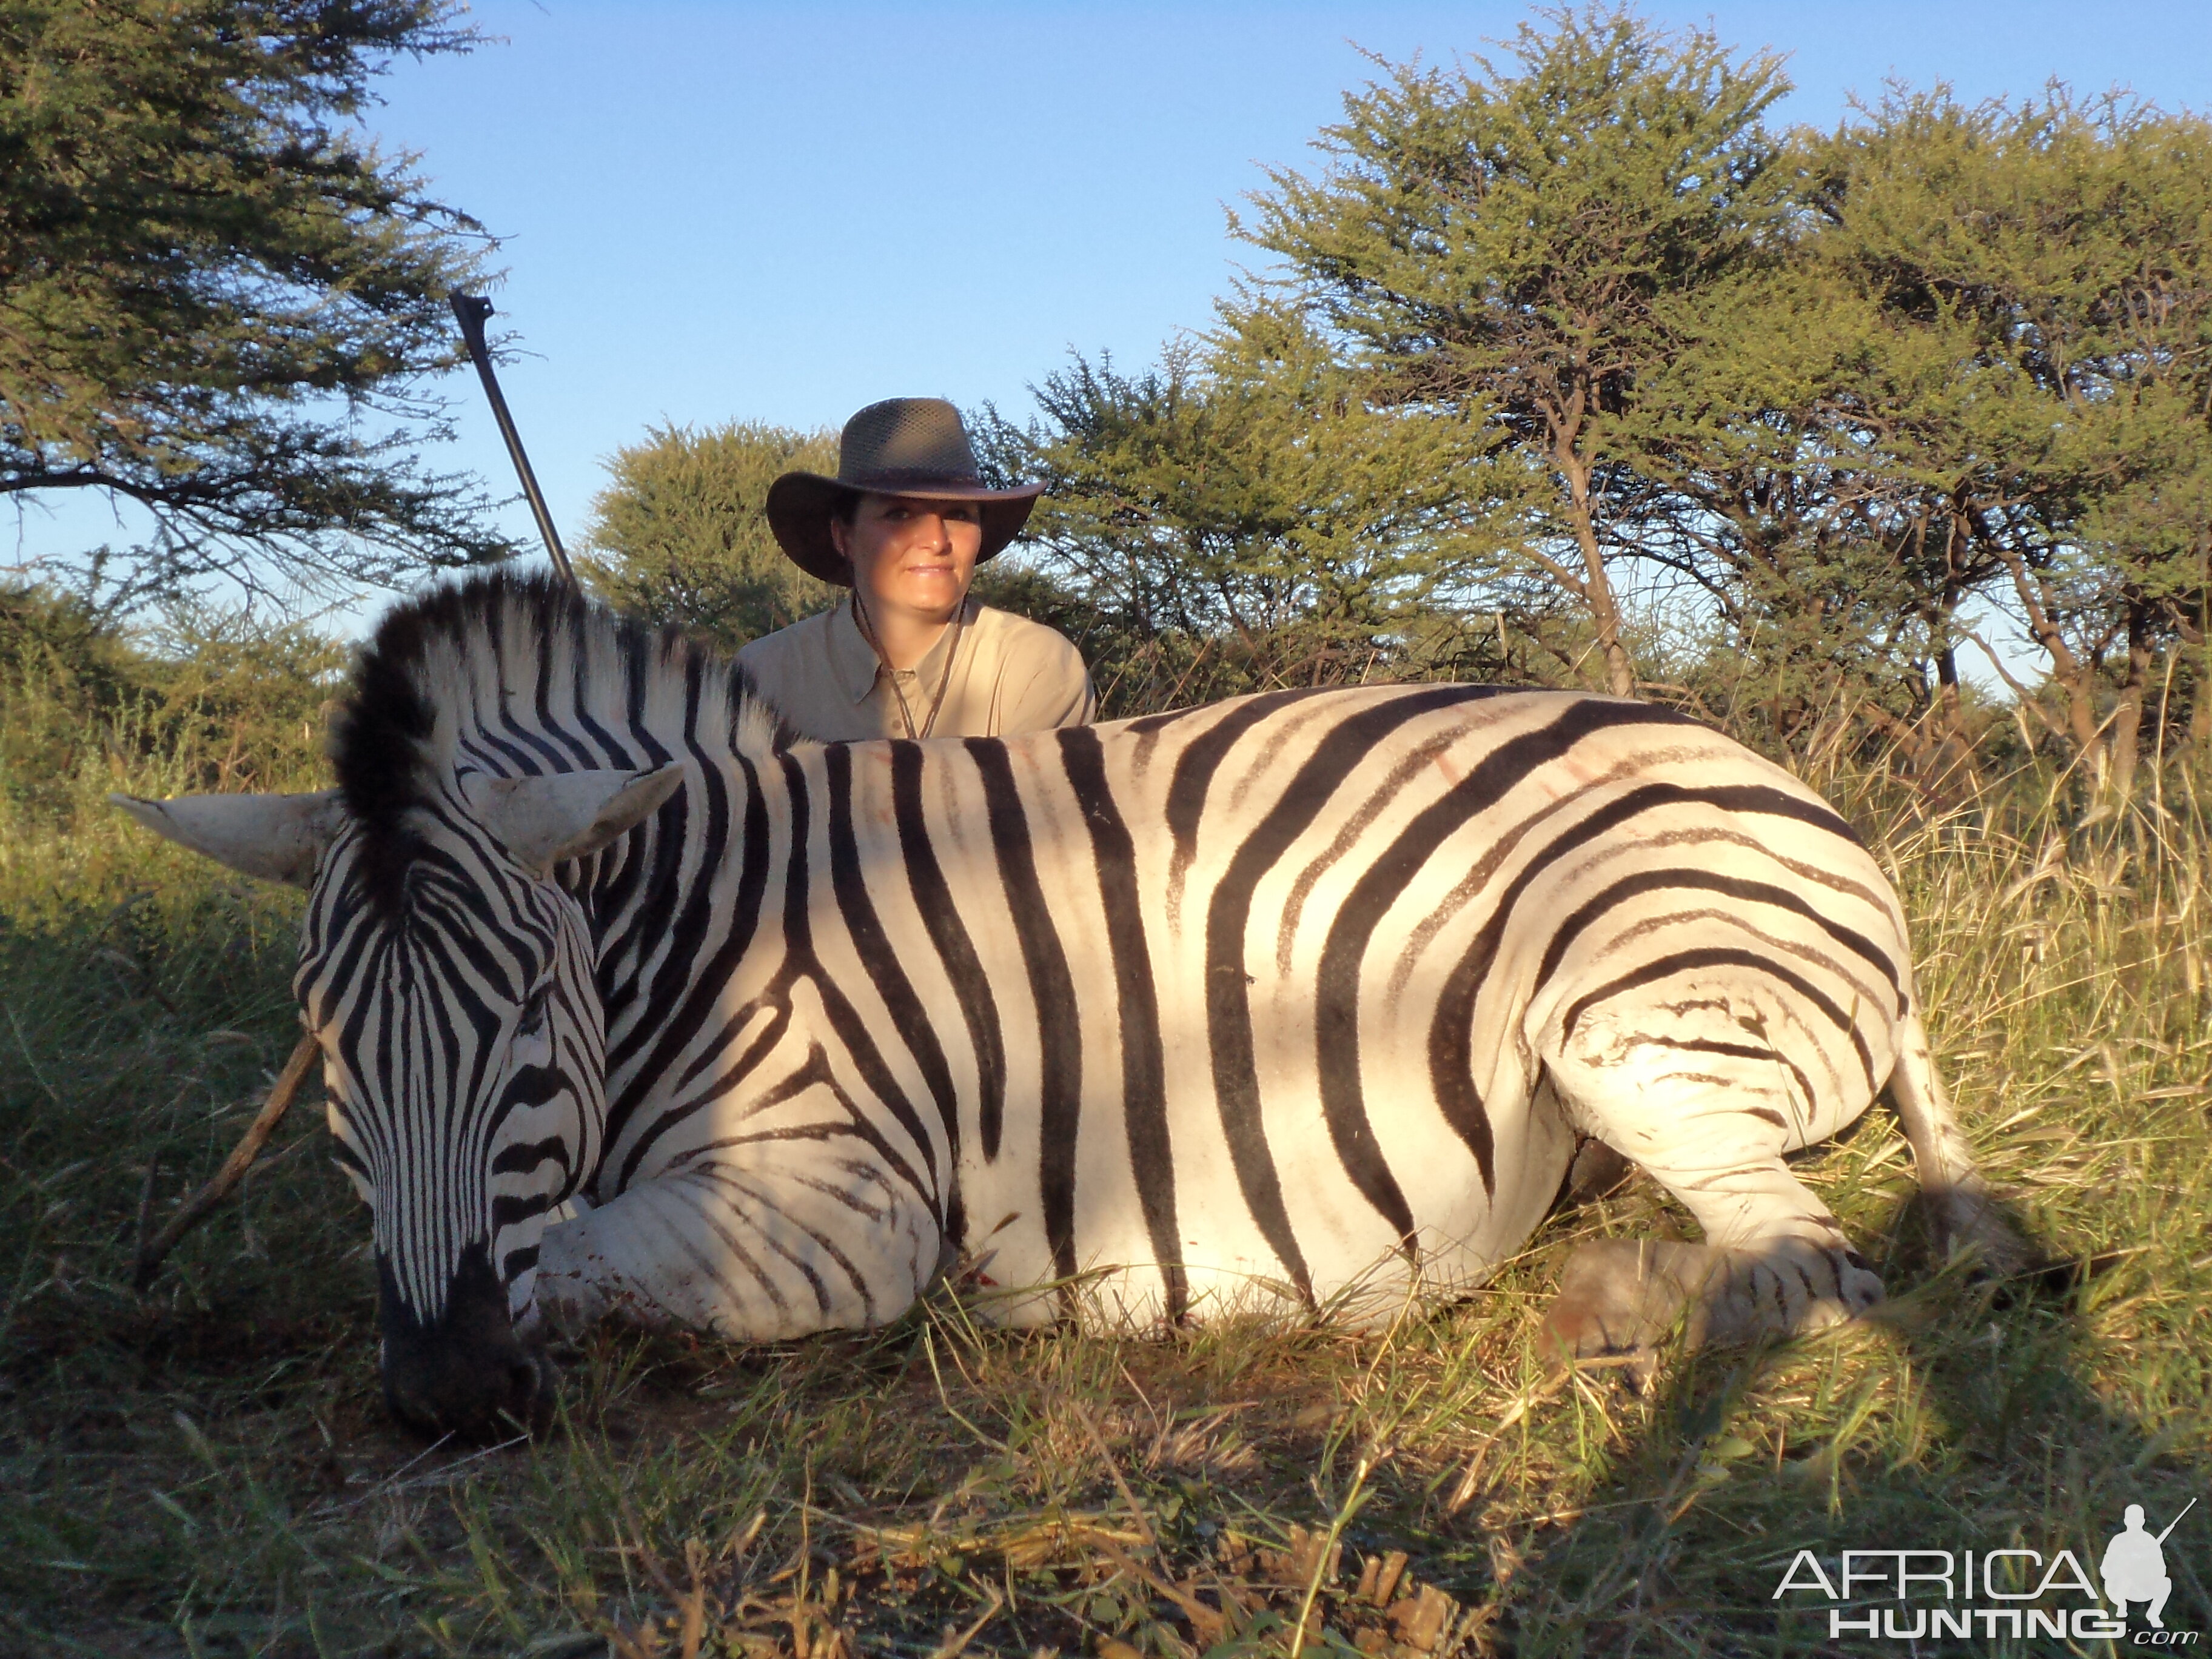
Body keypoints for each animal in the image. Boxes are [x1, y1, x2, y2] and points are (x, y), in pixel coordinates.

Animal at [116, 575, 2026, 1442]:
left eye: (527, 1013)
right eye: (330, 1040)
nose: (443, 1394)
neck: (697, 928)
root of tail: (1784, 789)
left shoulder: (849, 1208)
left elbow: (578, 1258)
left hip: (1622, 1018)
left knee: (1814, 1276)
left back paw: (1601, 1307)